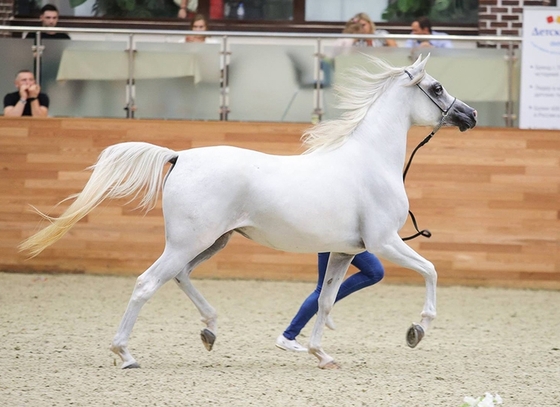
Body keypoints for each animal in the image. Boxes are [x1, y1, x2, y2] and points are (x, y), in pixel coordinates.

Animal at [20, 55, 476, 372]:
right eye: (436, 87)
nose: (469, 115)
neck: (372, 161)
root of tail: (180, 156)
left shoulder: (345, 251)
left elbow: (325, 301)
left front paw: (321, 354)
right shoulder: (384, 242)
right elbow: (431, 270)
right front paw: (418, 330)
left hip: (212, 241)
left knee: (180, 276)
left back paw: (209, 330)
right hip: (188, 241)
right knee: (148, 283)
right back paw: (126, 354)